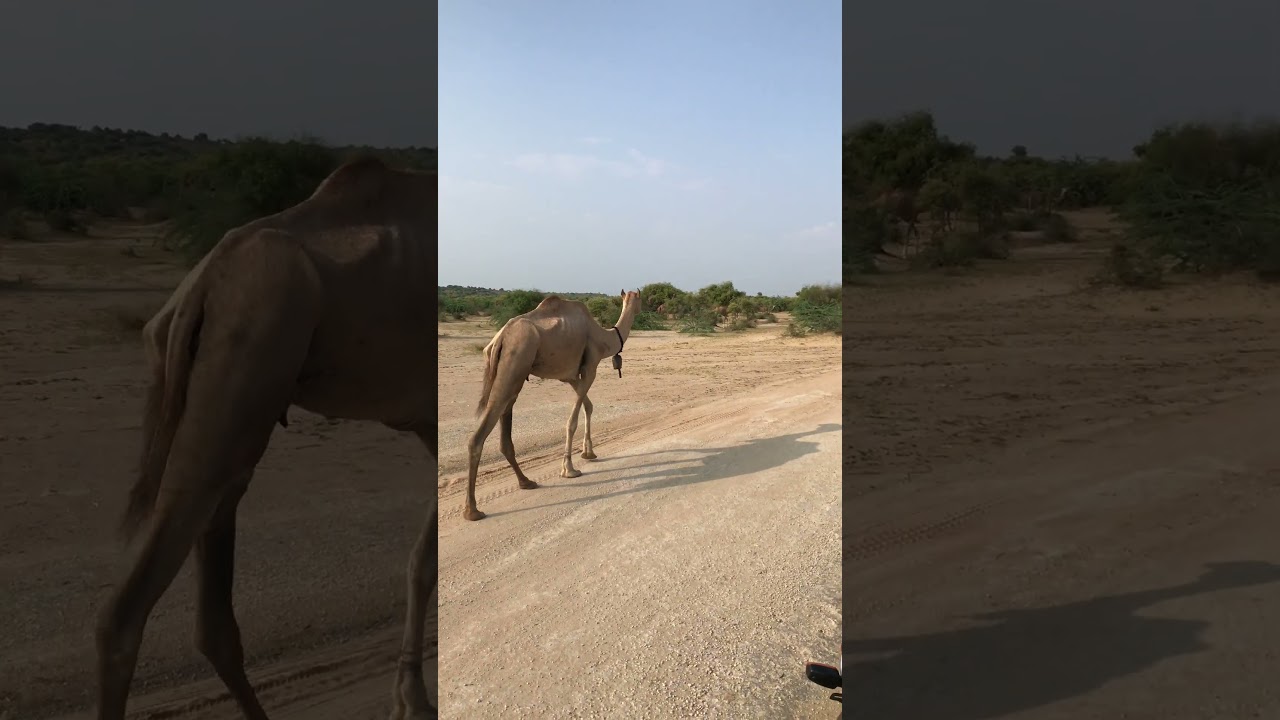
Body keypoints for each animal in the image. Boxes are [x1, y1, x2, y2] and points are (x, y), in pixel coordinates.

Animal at [95, 157, 437, 720]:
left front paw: (410, 697)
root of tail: (204, 283)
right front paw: (412, 701)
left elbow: (422, 559)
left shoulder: (424, 420)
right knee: (124, 612)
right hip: (255, 341)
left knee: (212, 612)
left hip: (215, 381)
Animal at [462, 290, 641, 521]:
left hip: (511, 371)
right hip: (516, 361)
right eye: (639, 299)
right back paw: (472, 510)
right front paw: (569, 469)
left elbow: (588, 406)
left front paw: (588, 453)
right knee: (481, 432)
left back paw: (526, 482)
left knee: (506, 415)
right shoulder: (590, 365)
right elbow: (572, 420)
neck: (604, 337)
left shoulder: (570, 376)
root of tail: (500, 338)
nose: (642, 307)